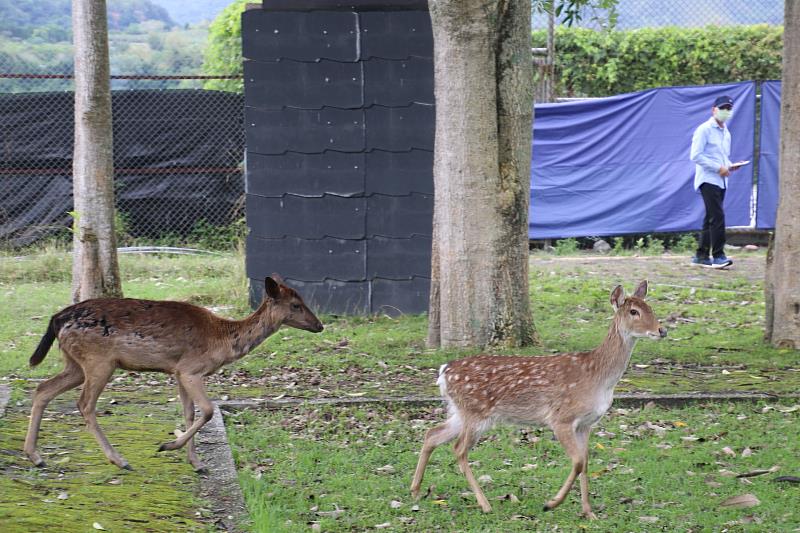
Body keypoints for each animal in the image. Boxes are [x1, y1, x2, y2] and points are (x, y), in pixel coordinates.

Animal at [23, 274, 322, 470]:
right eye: (296, 305)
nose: (319, 325)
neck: (222, 339)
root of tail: (57, 319)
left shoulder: (177, 371)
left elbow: (188, 412)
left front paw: (196, 462)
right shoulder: (191, 369)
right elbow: (208, 410)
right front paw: (168, 447)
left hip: (75, 363)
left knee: (43, 389)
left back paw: (36, 456)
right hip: (99, 361)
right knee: (84, 403)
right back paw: (119, 460)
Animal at [410, 280, 664, 516]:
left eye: (650, 307)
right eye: (634, 312)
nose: (662, 330)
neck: (598, 377)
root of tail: (444, 372)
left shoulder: (586, 423)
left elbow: (585, 462)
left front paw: (588, 512)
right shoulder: (561, 418)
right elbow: (578, 462)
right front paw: (551, 503)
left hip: (460, 411)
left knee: (432, 434)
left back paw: (415, 490)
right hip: (476, 412)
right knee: (459, 449)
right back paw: (485, 505)